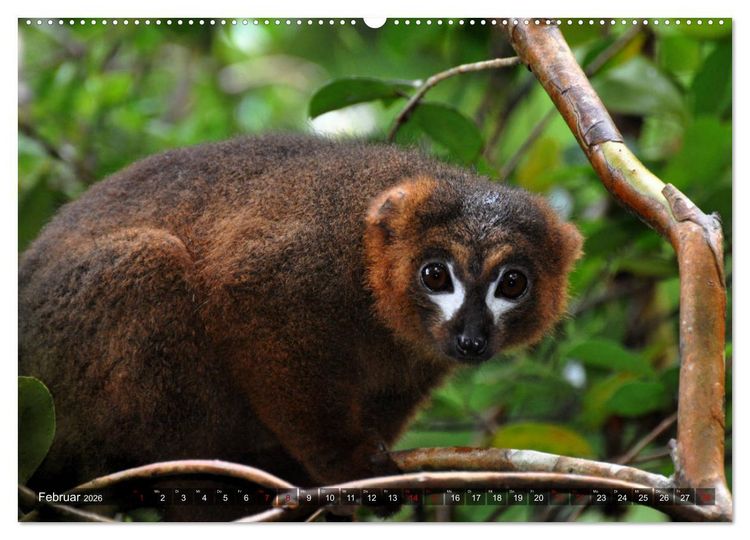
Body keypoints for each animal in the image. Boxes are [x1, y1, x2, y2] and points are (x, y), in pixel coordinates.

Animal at [19, 134, 582, 517]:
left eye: (512, 284)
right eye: (436, 275)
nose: (471, 338)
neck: (367, 282)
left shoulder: (418, 354)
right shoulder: (309, 254)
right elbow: (247, 297)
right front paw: (345, 466)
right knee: (147, 261)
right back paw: (196, 484)